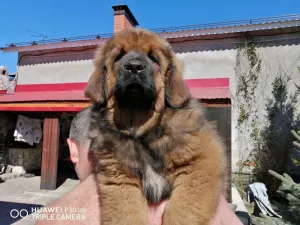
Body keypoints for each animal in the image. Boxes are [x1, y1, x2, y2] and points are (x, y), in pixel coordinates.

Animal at [84, 28, 227, 225]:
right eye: (119, 56)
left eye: (153, 58)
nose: (134, 67)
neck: (140, 131)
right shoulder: (120, 179)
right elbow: (127, 215)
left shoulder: (203, 160)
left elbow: (181, 211)